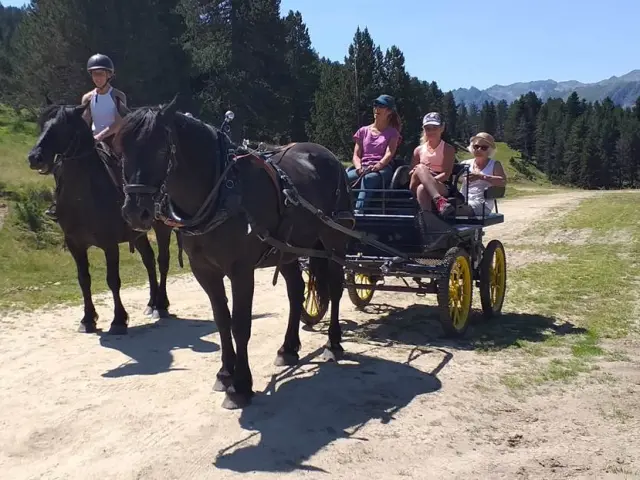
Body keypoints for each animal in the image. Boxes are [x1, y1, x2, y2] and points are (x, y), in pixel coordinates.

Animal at [27, 101, 183, 335]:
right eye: (42, 124)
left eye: (63, 126)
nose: (34, 157)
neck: (83, 197)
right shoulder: (74, 244)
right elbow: (84, 279)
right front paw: (88, 319)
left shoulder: (109, 244)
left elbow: (113, 280)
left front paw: (118, 320)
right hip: (138, 233)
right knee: (148, 261)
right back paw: (151, 303)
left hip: (161, 227)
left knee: (162, 261)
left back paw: (161, 305)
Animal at [117, 96, 354, 409]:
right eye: (121, 149)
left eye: (160, 149)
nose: (135, 213)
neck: (222, 193)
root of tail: (329, 157)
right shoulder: (204, 270)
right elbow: (222, 320)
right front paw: (225, 373)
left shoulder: (241, 271)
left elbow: (240, 324)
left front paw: (241, 385)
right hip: (288, 250)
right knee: (296, 292)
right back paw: (288, 348)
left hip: (334, 240)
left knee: (336, 288)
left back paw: (333, 343)